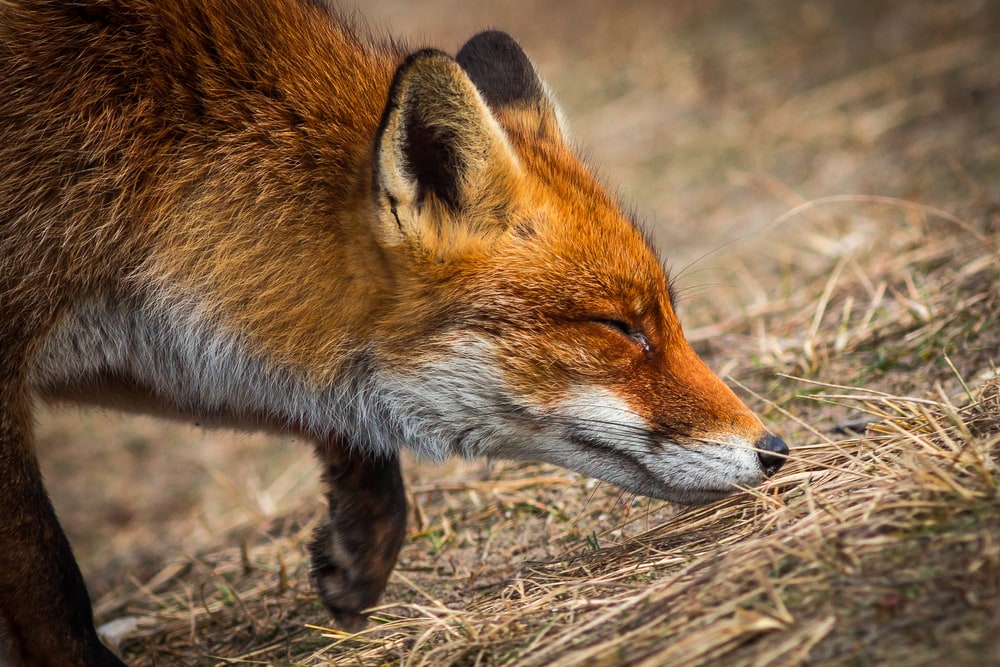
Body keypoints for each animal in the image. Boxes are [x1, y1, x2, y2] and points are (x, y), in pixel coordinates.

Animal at [0, 0, 789, 664]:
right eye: (618, 326)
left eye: (667, 317)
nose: (776, 449)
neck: (153, 161)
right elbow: (51, 580)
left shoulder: (157, 350)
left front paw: (361, 542)